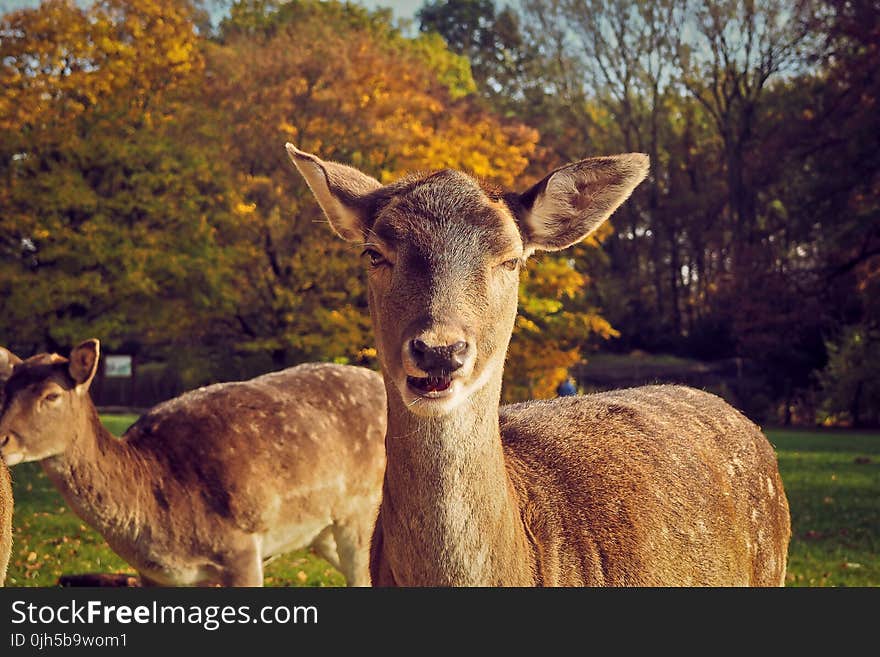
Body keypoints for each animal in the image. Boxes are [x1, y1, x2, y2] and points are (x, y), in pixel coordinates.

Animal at [0, 338, 384, 584]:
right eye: (5, 392)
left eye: (51, 396)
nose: (2, 438)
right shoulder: (155, 577)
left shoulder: (242, 550)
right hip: (321, 530)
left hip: (362, 510)